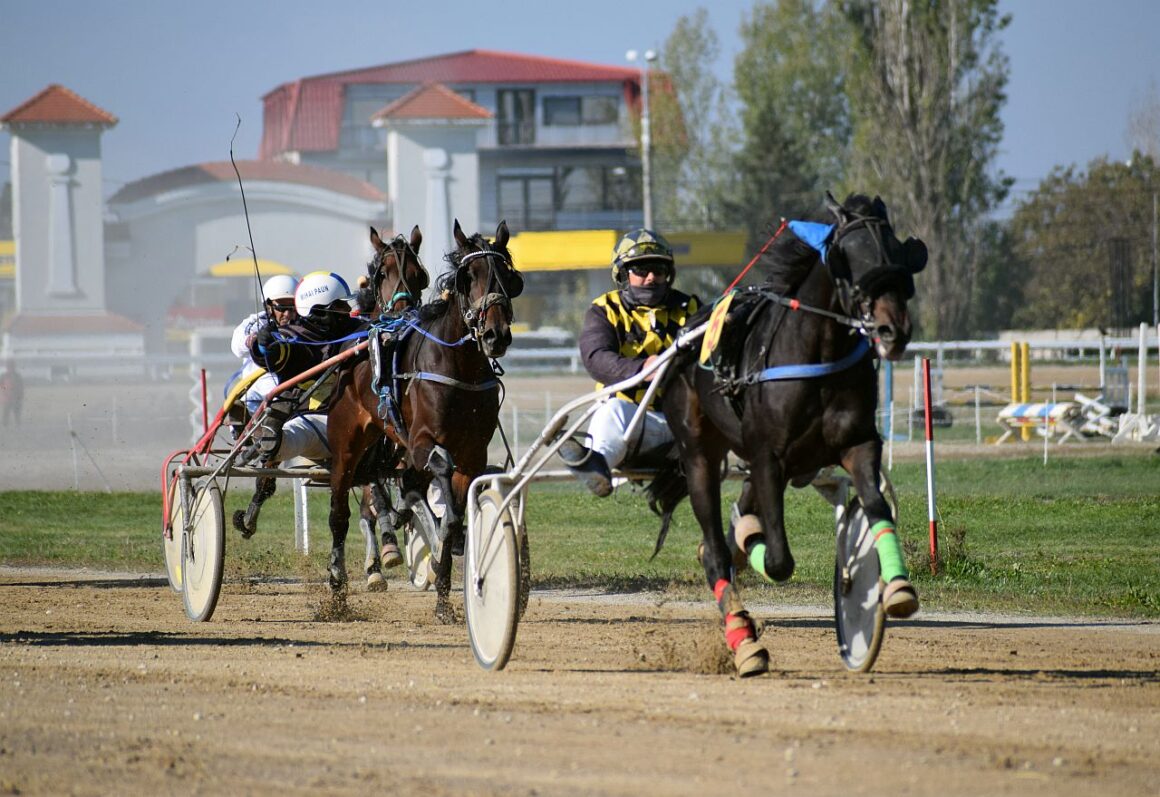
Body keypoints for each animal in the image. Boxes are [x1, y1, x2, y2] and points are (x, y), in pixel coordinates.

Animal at [327, 219, 526, 621]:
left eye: (507, 277)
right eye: (468, 276)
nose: (496, 334)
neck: (460, 366)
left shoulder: (473, 455)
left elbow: (452, 516)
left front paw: (444, 596)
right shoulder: (420, 443)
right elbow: (439, 474)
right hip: (346, 446)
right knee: (340, 510)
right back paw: (338, 585)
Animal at [658, 191, 928, 672]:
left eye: (898, 251)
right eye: (849, 256)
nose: (892, 329)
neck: (818, 352)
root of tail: (685, 338)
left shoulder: (858, 444)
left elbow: (876, 506)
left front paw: (893, 587)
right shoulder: (768, 456)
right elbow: (779, 561)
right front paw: (751, 539)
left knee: (732, 528)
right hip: (699, 454)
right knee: (716, 553)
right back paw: (745, 642)